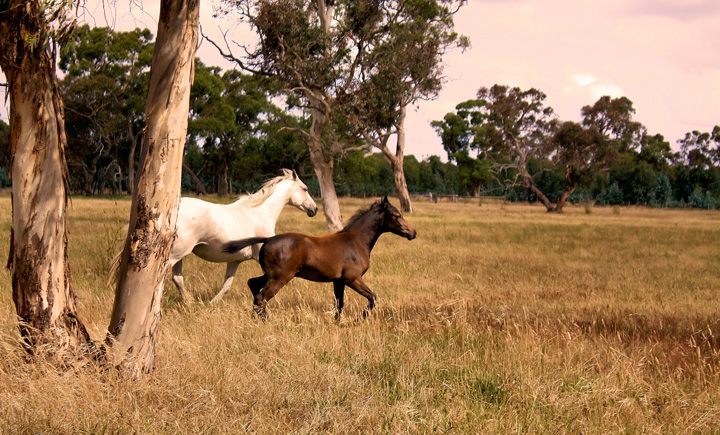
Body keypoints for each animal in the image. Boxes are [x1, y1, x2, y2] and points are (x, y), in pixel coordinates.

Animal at [170, 169, 316, 304]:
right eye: (305, 188)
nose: (314, 209)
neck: (260, 213)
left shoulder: (234, 261)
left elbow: (226, 286)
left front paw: (211, 304)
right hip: (175, 255)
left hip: (179, 256)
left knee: (177, 279)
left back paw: (190, 302)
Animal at [224, 198, 416, 320]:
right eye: (397, 215)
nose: (413, 232)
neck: (355, 241)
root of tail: (268, 239)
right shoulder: (353, 279)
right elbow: (372, 298)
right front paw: (359, 320)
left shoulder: (339, 281)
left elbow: (339, 304)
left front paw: (339, 325)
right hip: (281, 278)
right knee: (261, 297)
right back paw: (266, 321)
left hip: (270, 275)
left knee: (253, 284)